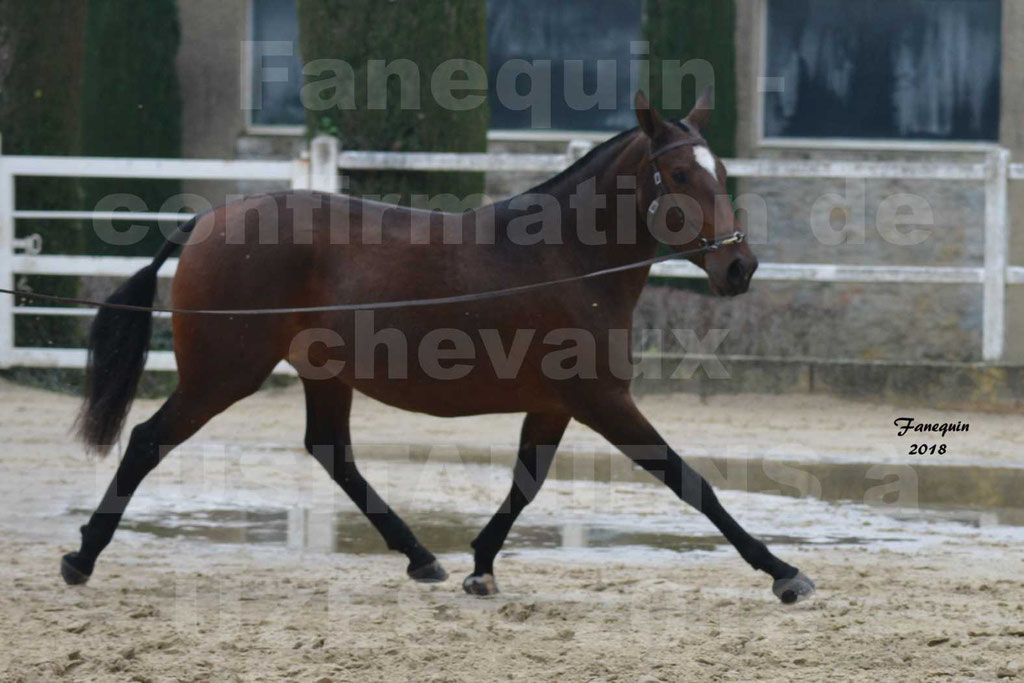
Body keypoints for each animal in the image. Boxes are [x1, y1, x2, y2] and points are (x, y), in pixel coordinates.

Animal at [61, 89, 815, 602]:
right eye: (681, 177)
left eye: (721, 171)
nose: (739, 267)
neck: (567, 258)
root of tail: (207, 221)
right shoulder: (601, 398)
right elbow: (691, 481)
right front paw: (783, 572)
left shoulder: (557, 403)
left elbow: (526, 482)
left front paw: (480, 565)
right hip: (222, 373)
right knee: (147, 441)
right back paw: (82, 557)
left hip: (321, 374)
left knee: (332, 454)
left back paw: (421, 556)